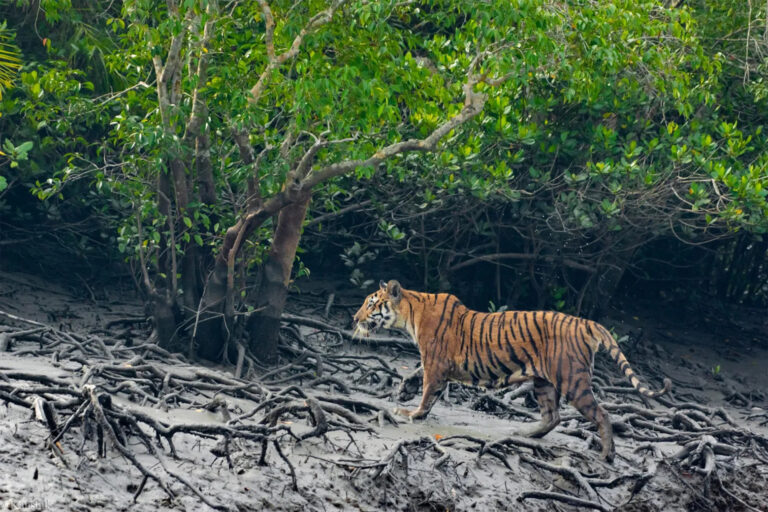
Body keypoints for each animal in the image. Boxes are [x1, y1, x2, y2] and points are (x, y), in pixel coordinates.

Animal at [352, 280, 668, 464]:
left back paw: (607, 454)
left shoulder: (436, 363)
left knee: (601, 414)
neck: (410, 312)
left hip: (572, 380)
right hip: (543, 382)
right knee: (553, 416)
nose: (354, 318)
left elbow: (429, 392)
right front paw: (404, 389)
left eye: (370, 303)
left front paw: (413, 413)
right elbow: (416, 374)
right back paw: (523, 433)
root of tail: (585, 322)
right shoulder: (434, 362)